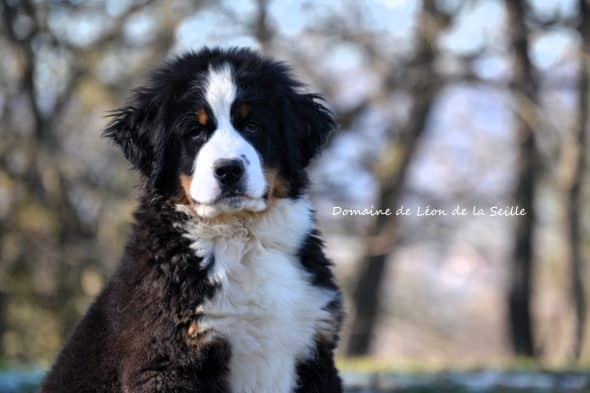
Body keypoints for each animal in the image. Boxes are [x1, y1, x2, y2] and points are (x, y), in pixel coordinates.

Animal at [41, 48, 344, 392]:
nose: (228, 170)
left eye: (252, 126)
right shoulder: (170, 359)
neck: (243, 239)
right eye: (195, 133)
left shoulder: (316, 350)